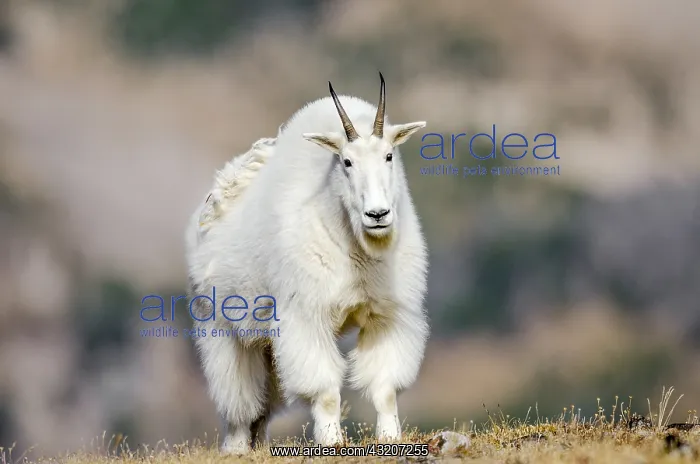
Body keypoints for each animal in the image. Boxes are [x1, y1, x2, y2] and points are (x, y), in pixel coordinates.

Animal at [185, 73, 429, 454]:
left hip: (264, 339)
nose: (377, 215)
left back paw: (259, 445)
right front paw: (331, 441)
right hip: (220, 328)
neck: (358, 248)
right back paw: (237, 446)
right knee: (238, 396)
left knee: (263, 402)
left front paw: (391, 437)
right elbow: (325, 390)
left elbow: (385, 388)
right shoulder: (306, 316)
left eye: (389, 155)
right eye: (346, 162)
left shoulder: (388, 316)